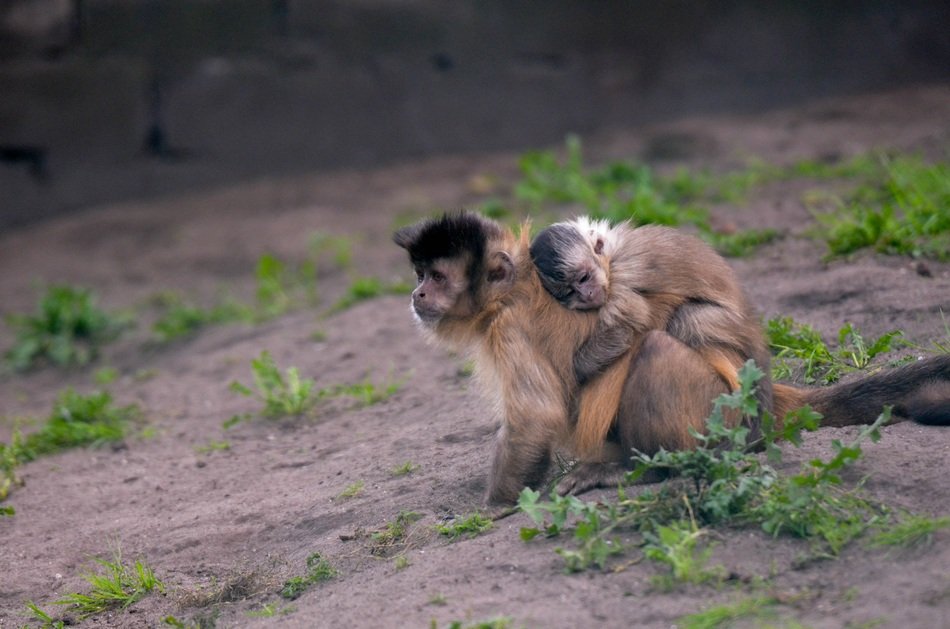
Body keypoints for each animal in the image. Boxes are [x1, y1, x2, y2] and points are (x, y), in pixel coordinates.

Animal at [529, 217, 771, 458]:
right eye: (570, 292)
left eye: (583, 278)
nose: (586, 295)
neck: (612, 251)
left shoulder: (622, 276)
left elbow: (626, 327)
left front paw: (574, 373)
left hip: (727, 324)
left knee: (683, 319)